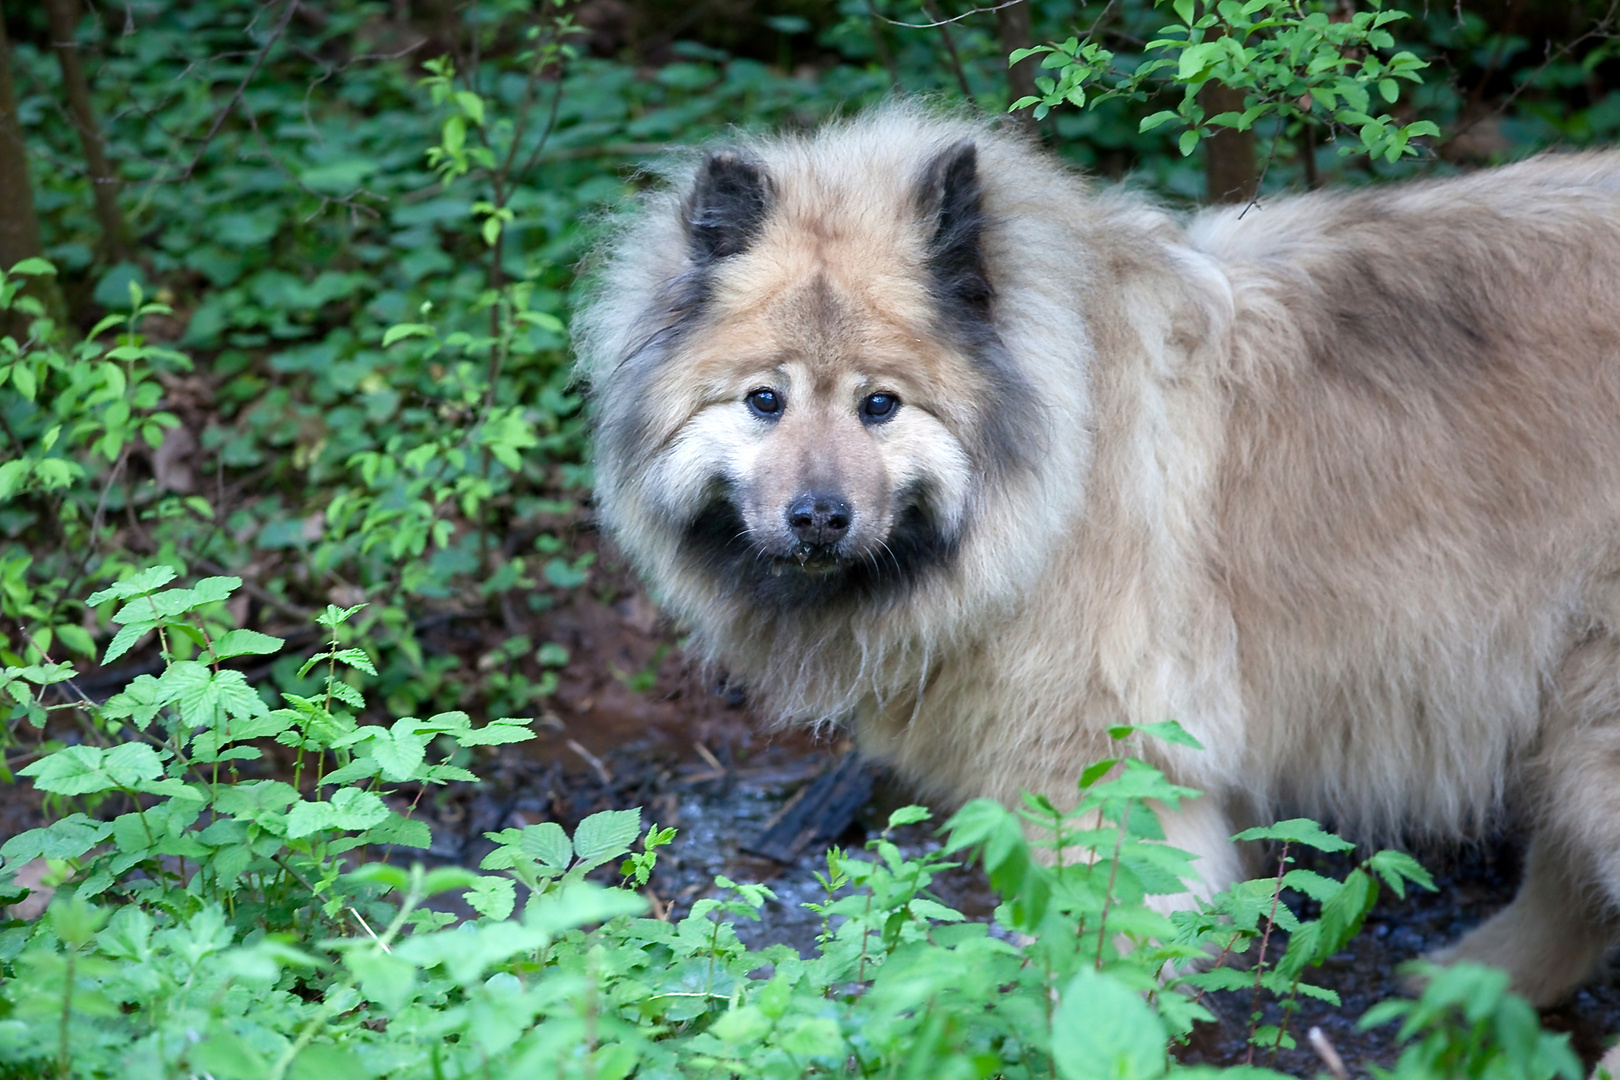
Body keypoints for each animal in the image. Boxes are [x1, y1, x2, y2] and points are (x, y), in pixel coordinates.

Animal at [576, 105, 1620, 1003]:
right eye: (765, 400)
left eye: (880, 405)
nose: (819, 518)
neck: (1062, 456)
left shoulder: (1097, 781)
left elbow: (1092, 964)